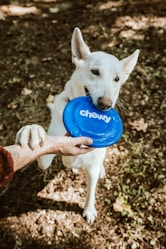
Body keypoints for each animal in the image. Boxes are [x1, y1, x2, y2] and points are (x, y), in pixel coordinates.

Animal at [16, 28, 139, 223]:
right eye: (95, 71)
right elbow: (43, 156)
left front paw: (89, 210)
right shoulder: (50, 152)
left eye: (117, 79)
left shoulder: (92, 168)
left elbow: (91, 191)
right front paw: (32, 131)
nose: (105, 104)